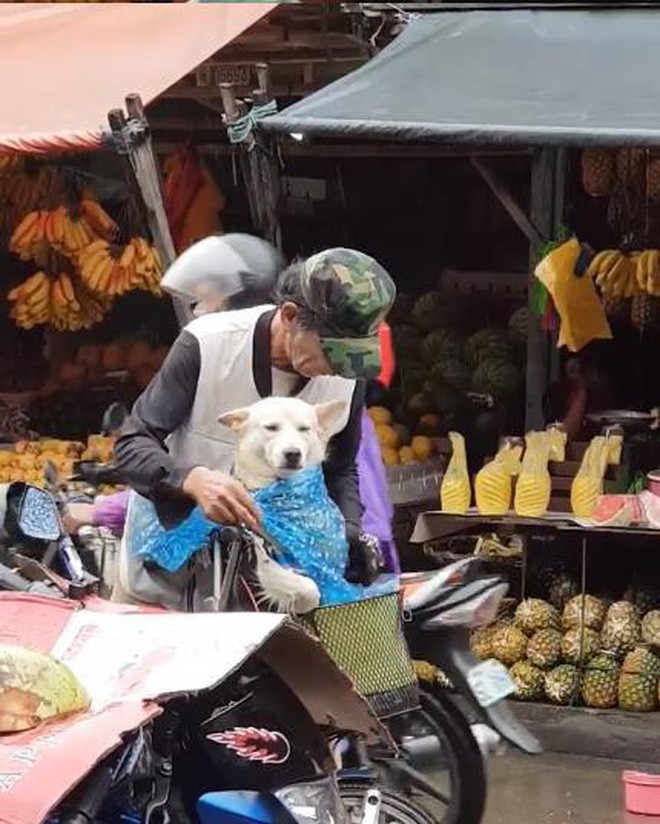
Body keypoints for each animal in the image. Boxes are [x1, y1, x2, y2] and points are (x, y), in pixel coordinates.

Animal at [219, 396, 348, 616]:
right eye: (271, 427)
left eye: (304, 429)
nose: (292, 453)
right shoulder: (265, 557)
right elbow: (309, 589)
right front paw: (302, 605)